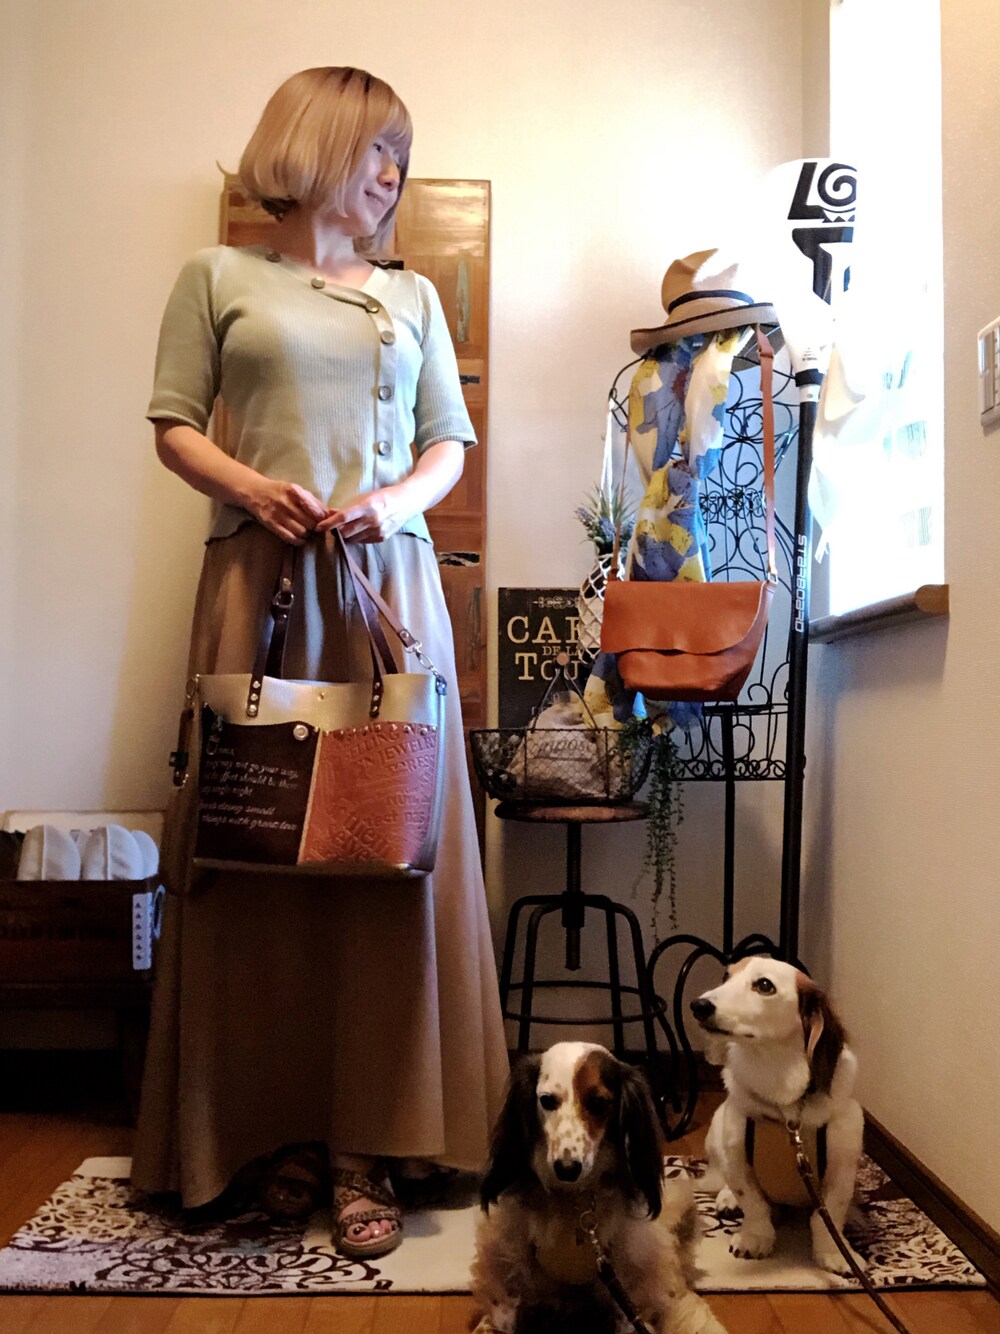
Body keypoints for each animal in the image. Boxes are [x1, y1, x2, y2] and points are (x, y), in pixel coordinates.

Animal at [471, 1041, 727, 1334]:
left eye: (597, 1103)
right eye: (547, 1100)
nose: (567, 1168)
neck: (573, 1201)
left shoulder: (628, 1274)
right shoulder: (509, 1257)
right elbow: (503, 1309)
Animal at [690, 956, 865, 1276]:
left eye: (764, 985)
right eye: (726, 976)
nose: (698, 1005)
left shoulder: (841, 1166)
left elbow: (828, 1216)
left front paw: (834, 1252)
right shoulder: (736, 1157)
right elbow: (754, 1203)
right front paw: (755, 1237)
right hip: (718, 1127)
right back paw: (727, 1197)